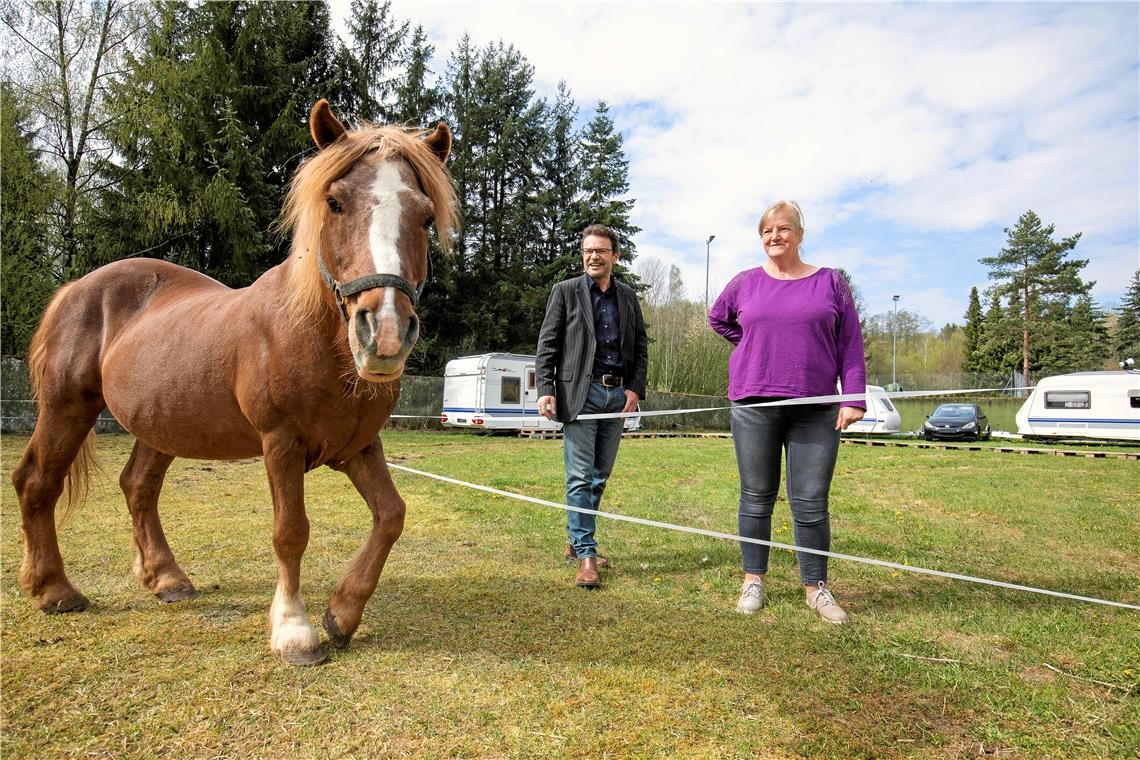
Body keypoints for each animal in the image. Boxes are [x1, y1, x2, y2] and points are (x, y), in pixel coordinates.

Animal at [13, 102, 458, 665]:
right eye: (334, 202)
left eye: (425, 216)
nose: (384, 332)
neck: (315, 338)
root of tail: (76, 287)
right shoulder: (281, 443)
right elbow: (291, 532)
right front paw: (294, 631)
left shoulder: (357, 445)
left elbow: (391, 516)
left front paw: (342, 613)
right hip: (67, 408)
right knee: (36, 482)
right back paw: (54, 589)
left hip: (162, 424)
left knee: (138, 487)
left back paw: (167, 579)